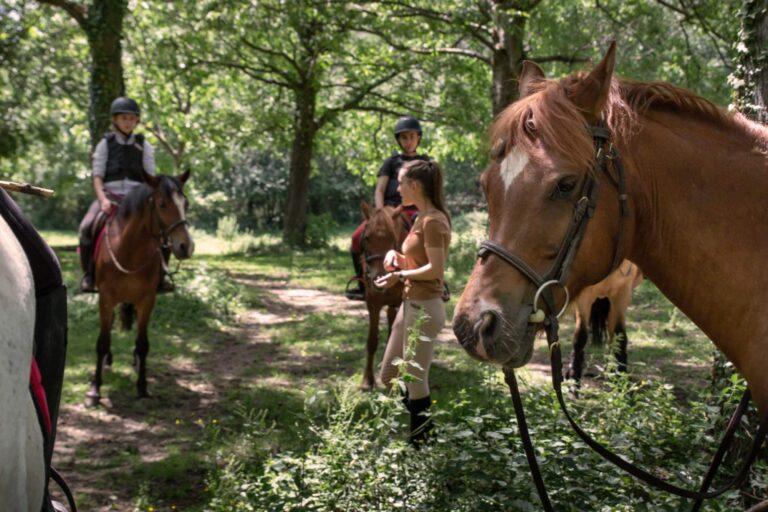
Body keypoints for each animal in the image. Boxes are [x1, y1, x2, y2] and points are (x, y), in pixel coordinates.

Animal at [85, 170, 194, 406]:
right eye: (162, 204)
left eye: (186, 204)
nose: (186, 246)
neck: (129, 250)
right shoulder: (105, 299)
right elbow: (102, 341)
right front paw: (94, 390)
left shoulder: (147, 300)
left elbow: (143, 344)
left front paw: (142, 386)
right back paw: (107, 360)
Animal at [358, 202, 408, 390]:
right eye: (367, 238)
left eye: (393, 239)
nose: (379, 278)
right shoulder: (372, 302)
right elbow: (372, 341)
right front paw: (367, 381)